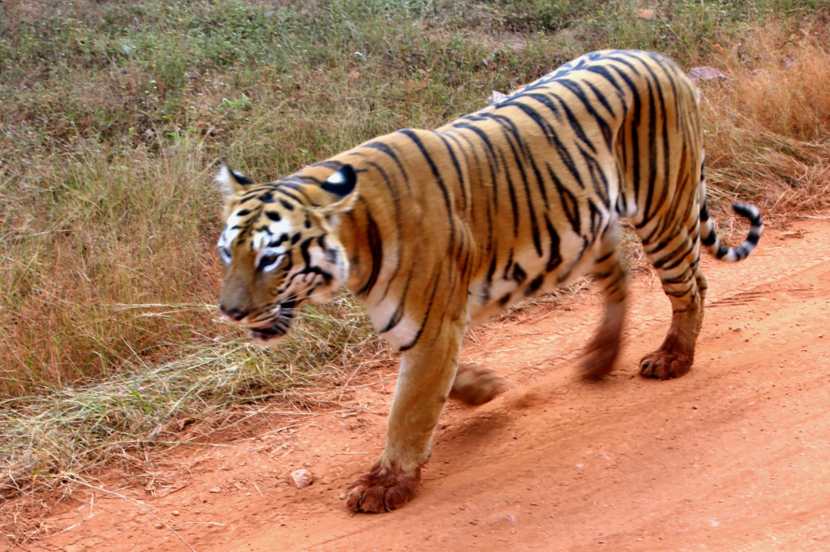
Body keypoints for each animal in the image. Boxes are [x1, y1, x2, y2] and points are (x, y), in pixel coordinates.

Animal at [216, 49, 768, 516]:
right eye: (228, 252)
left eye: (269, 257)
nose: (230, 312)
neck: (354, 247)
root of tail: (659, 58)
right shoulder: (421, 326)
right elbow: (432, 384)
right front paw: (485, 388)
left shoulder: (432, 324)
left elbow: (407, 409)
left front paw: (385, 485)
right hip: (586, 224)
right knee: (619, 273)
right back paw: (601, 357)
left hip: (663, 211)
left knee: (692, 286)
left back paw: (673, 357)